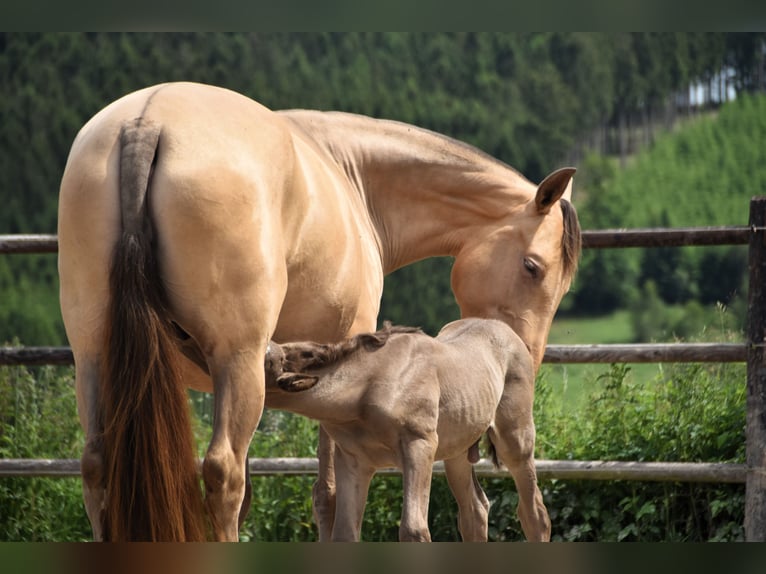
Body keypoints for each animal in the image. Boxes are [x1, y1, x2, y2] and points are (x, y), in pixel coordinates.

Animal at [266, 320, 552, 544]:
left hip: (515, 441)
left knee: (535, 514)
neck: (367, 386)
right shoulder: (352, 459)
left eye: (266, 362)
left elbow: (414, 530)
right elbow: (345, 534)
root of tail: (509, 331)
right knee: (475, 511)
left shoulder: (419, 445)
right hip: (457, 452)